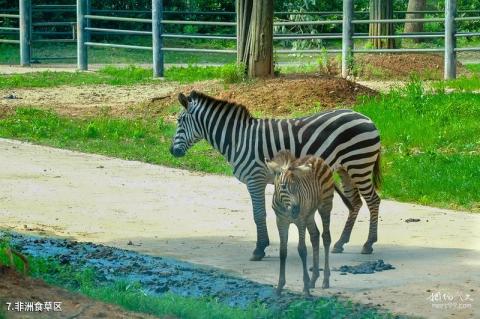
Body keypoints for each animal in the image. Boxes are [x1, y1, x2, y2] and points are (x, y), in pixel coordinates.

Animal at [171, 91, 380, 262]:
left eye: (179, 121)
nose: (172, 151)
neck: (238, 139)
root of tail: (368, 118)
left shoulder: (255, 179)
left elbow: (258, 214)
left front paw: (259, 249)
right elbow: (262, 213)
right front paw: (263, 246)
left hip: (359, 165)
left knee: (373, 200)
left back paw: (369, 244)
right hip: (346, 170)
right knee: (356, 203)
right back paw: (341, 243)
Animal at [268, 151, 344, 296]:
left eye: (298, 187)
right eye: (283, 187)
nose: (296, 209)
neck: (286, 207)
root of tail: (316, 157)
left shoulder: (300, 221)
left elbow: (302, 250)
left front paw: (306, 290)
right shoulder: (281, 221)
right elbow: (283, 251)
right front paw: (280, 287)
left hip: (325, 206)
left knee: (326, 237)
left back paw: (325, 280)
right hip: (309, 214)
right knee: (315, 236)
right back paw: (313, 279)